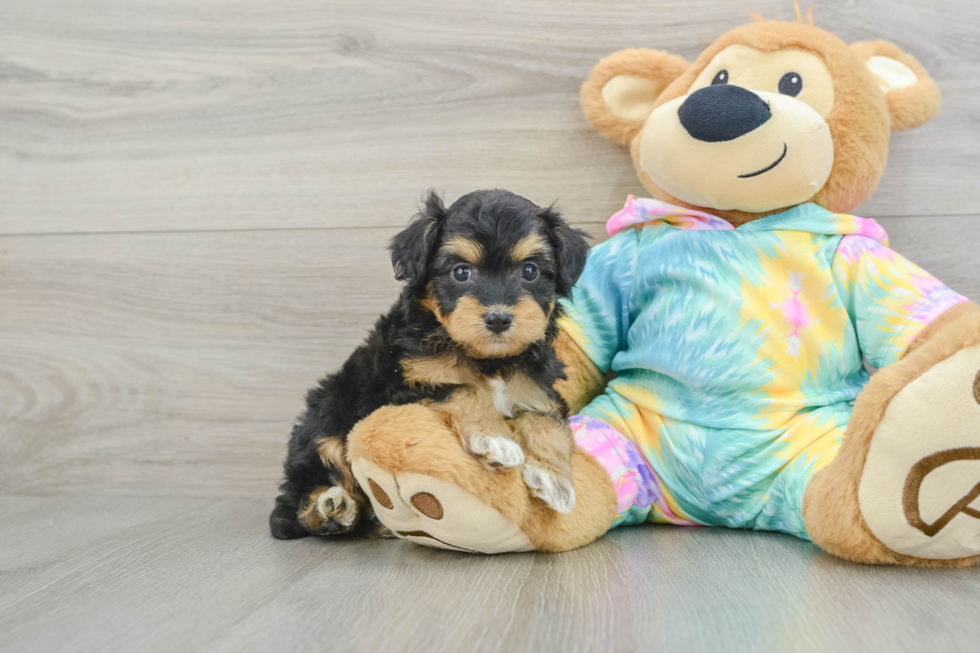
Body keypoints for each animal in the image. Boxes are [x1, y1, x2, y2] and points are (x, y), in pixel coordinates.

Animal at [268, 188, 588, 540]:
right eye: (461, 272)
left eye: (530, 271)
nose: (498, 318)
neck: (486, 359)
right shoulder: (401, 387)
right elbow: (463, 389)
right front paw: (495, 440)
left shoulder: (539, 390)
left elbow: (546, 420)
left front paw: (554, 478)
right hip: (327, 413)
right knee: (303, 487)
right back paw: (331, 508)